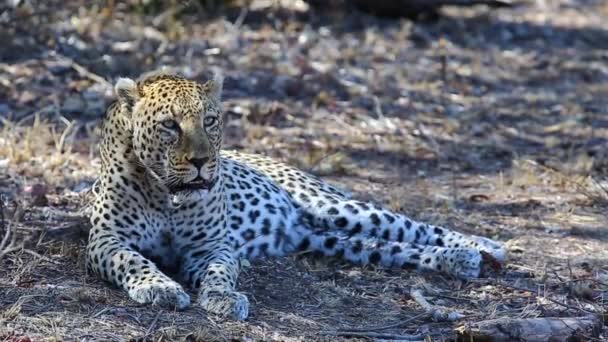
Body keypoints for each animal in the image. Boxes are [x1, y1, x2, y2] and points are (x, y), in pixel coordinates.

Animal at [88, 71, 508, 320]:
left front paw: (224, 296)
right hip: (328, 238)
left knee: (412, 226)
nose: (202, 161)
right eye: (169, 125)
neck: (168, 197)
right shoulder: (107, 241)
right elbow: (132, 261)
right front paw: (159, 286)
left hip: (334, 206)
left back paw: (485, 247)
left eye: (210, 120)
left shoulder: (213, 247)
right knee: (386, 245)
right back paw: (461, 260)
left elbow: (221, 270)